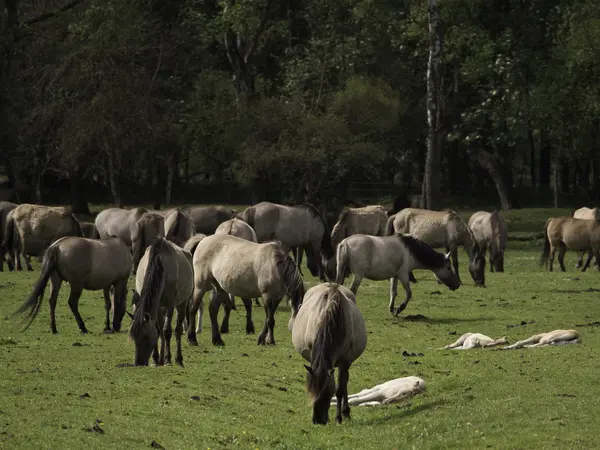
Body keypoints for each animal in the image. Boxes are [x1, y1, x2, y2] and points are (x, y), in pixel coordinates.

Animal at [129, 236, 193, 366]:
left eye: (146, 337)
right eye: (134, 337)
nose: (139, 363)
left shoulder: (170, 304)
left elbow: (167, 330)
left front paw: (168, 359)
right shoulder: (156, 306)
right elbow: (158, 330)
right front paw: (156, 358)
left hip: (181, 303)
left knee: (177, 329)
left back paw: (178, 359)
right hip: (160, 307)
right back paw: (161, 358)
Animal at [290, 284, 368, 424]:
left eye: (327, 393)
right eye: (310, 391)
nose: (318, 421)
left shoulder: (345, 362)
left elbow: (340, 389)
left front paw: (338, 418)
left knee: (344, 383)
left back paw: (346, 412)